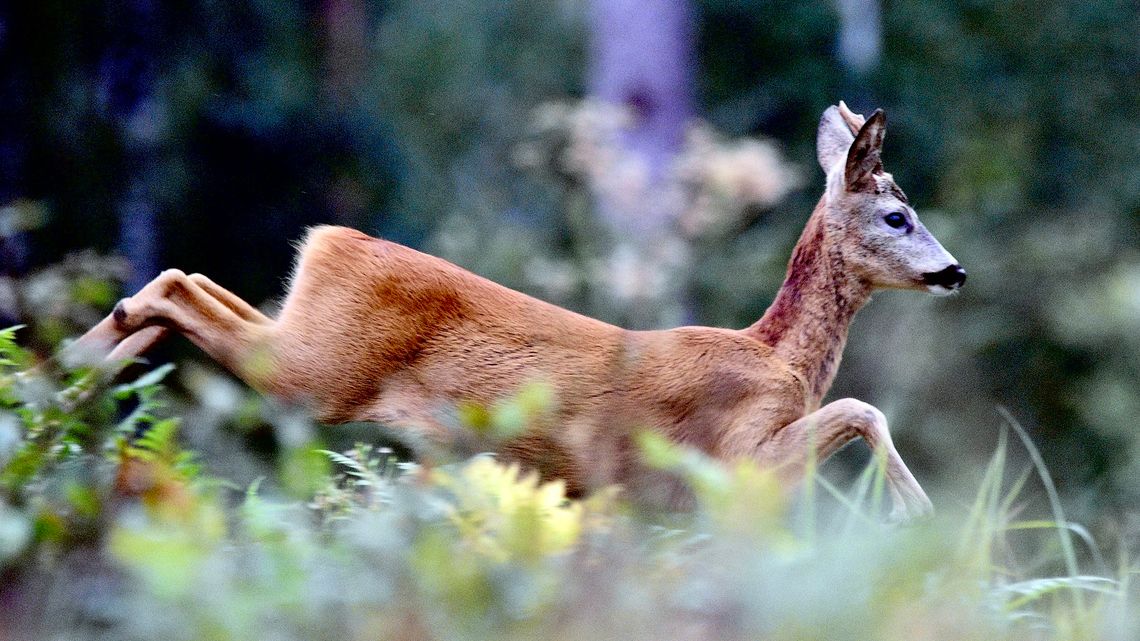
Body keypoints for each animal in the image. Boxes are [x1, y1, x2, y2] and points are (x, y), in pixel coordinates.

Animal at [71, 100, 962, 520]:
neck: (779, 357)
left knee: (185, 281)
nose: (953, 272)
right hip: (315, 371)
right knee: (177, 285)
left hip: (306, 334)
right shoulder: (728, 458)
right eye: (897, 215)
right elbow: (862, 406)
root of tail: (330, 238)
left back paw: (72, 374)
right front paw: (915, 511)